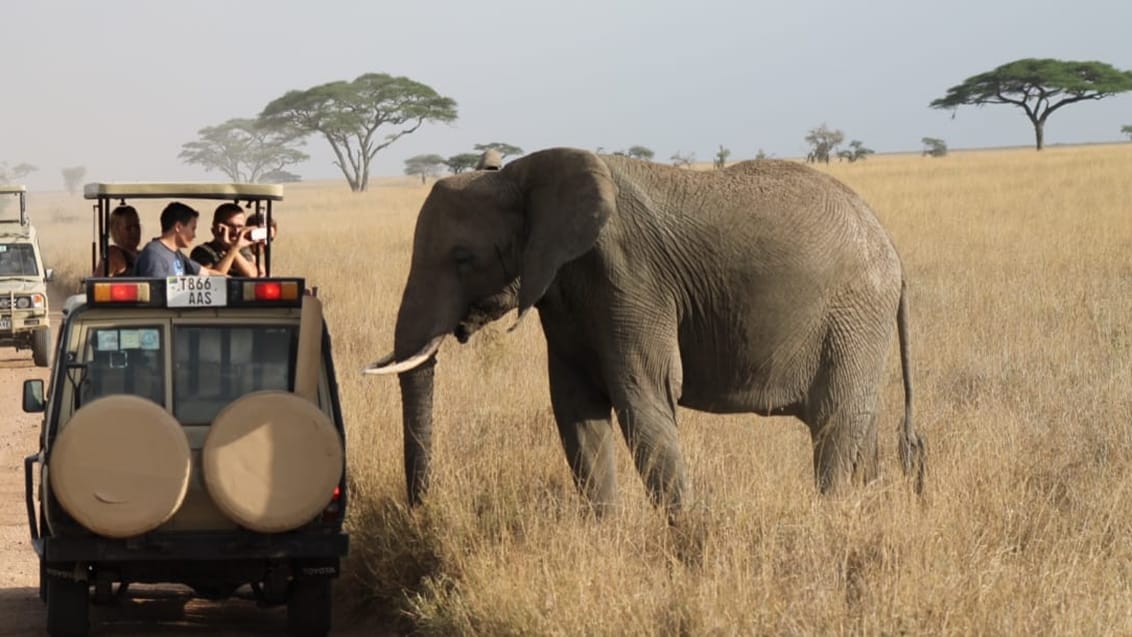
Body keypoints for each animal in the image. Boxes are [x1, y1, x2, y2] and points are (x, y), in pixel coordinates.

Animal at [366, 147, 923, 515]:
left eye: (463, 259)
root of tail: (894, 252)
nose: (420, 512)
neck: (523, 175)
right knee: (860, 429)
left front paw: (686, 539)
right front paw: (605, 537)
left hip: (853, 315)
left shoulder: (632, 280)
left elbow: (643, 401)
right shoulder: (562, 293)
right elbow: (576, 413)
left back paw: (833, 519)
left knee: (835, 426)